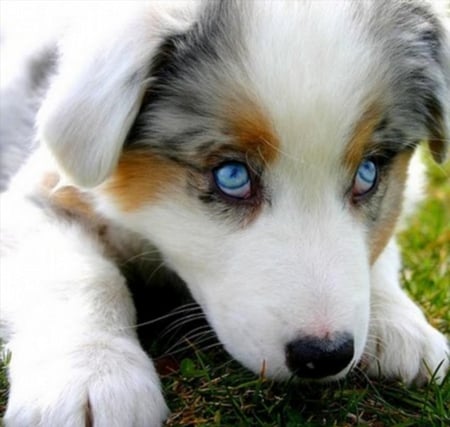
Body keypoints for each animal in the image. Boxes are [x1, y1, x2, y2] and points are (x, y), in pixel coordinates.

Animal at [0, 0, 448, 427]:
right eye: (232, 176)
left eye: (368, 172)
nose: (325, 356)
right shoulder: (35, 198)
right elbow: (81, 274)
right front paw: (91, 373)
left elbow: (381, 246)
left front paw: (401, 325)